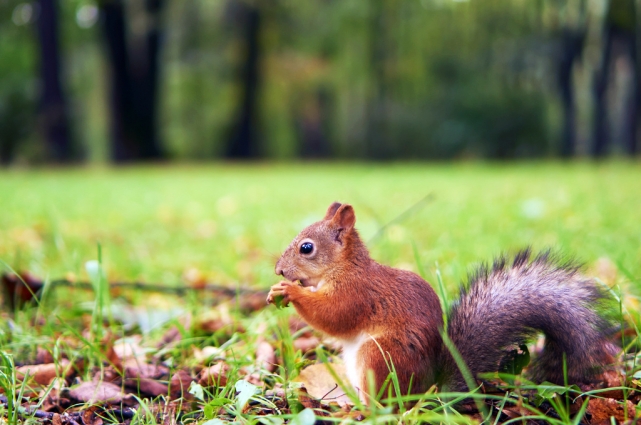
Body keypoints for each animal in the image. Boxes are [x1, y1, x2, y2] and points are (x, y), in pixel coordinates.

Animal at [266, 202, 620, 398]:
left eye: (307, 248)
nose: (279, 270)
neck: (344, 268)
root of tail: (429, 389)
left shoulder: (358, 294)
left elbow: (333, 315)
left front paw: (290, 291)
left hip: (380, 357)